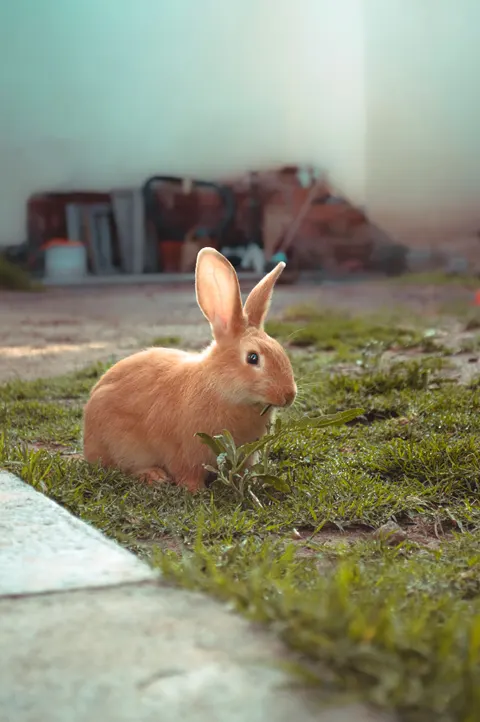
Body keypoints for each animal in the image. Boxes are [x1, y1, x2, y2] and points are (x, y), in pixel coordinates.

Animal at [83, 247, 297, 492]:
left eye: (280, 349)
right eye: (253, 358)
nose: (289, 395)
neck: (220, 388)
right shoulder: (185, 451)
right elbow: (187, 473)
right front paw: (196, 490)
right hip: (122, 448)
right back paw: (153, 476)